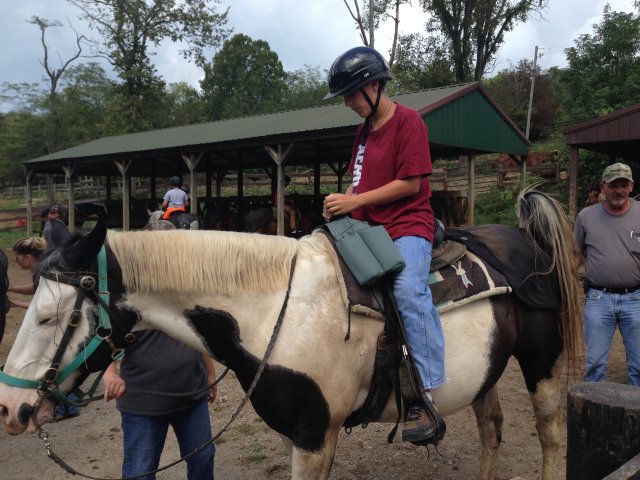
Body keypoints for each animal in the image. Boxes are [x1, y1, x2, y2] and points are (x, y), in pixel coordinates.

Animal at [0, 189, 584, 478]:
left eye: (49, 318)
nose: (11, 408)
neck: (274, 311)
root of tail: (524, 240)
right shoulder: (293, 434)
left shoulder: (315, 434)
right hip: (485, 372)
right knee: (491, 429)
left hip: (543, 363)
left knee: (552, 433)